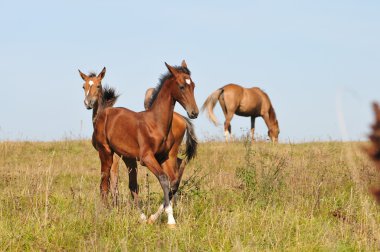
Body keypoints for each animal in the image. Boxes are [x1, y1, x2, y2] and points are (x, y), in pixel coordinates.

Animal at [91, 61, 199, 226]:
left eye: (193, 85)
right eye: (181, 86)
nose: (194, 113)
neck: (155, 123)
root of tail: (103, 113)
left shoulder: (165, 157)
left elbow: (173, 182)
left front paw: (153, 217)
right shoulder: (146, 158)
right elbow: (164, 179)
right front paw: (170, 220)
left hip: (127, 157)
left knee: (131, 185)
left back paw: (140, 216)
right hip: (106, 152)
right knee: (104, 183)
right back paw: (104, 213)